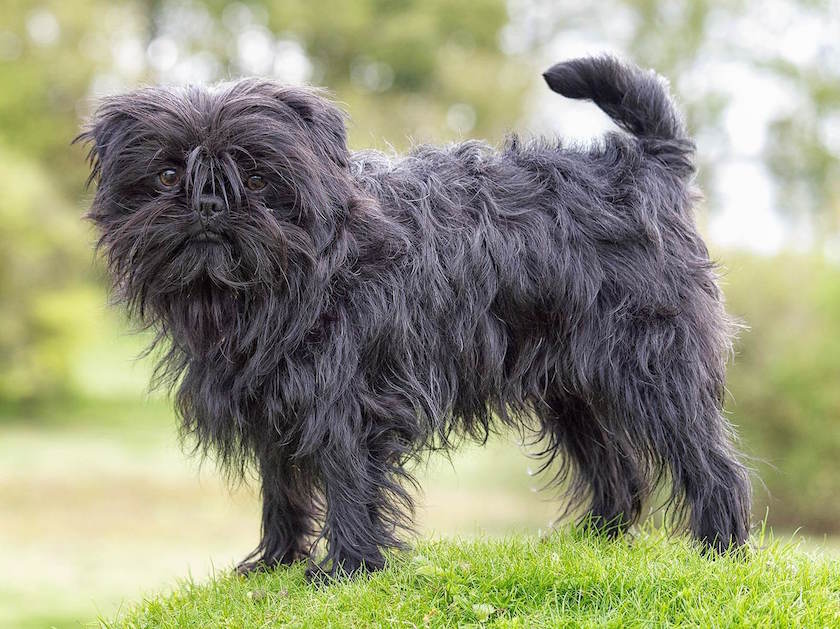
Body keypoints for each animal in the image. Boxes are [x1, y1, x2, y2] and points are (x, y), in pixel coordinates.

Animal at [77, 56, 748, 576]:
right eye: (168, 174)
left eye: (260, 177)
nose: (210, 201)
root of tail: (646, 165)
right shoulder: (274, 398)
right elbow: (282, 486)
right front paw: (275, 564)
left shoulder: (346, 398)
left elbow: (348, 481)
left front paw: (346, 571)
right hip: (569, 382)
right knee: (617, 471)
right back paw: (592, 545)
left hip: (653, 365)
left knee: (711, 462)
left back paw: (720, 551)